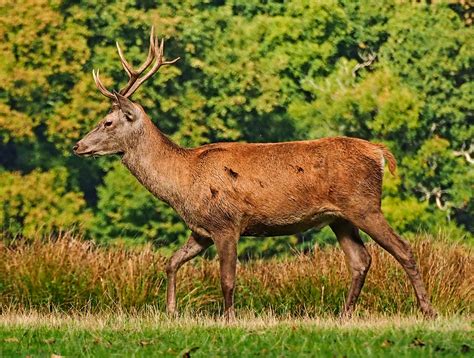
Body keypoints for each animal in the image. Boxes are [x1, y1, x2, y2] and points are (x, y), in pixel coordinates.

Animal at [72, 27, 438, 318]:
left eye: (107, 121)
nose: (77, 146)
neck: (182, 184)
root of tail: (379, 152)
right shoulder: (201, 230)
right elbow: (171, 262)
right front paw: (171, 310)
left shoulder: (226, 223)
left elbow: (227, 278)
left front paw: (229, 318)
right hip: (339, 217)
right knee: (360, 260)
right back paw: (345, 314)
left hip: (364, 205)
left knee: (404, 249)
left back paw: (427, 310)